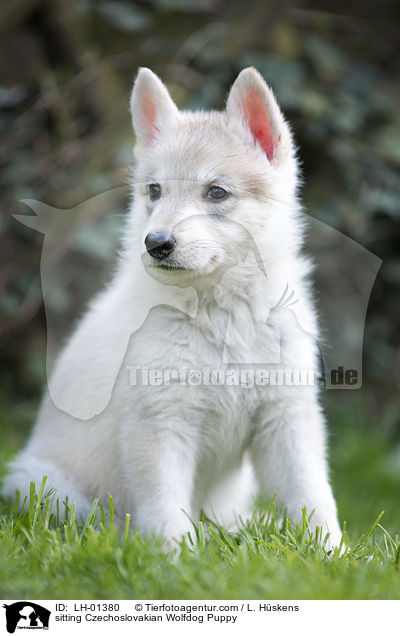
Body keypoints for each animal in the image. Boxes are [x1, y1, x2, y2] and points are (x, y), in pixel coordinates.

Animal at [3, 68, 340, 548]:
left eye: (216, 192)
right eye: (154, 191)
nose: (156, 244)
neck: (221, 311)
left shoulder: (286, 418)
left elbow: (312, 494)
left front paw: (333, 551)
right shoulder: (160, 423)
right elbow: (165, 506)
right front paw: (175, 556)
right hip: (46, 486)